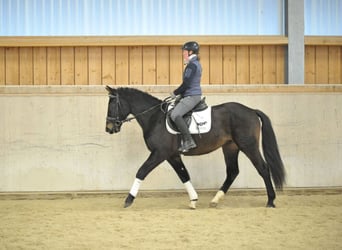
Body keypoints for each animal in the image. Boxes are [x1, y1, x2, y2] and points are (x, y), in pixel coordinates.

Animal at [105, 86, 286, 209]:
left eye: (112, 104)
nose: (109, 128)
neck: (155, 118)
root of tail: (251, 111)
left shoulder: (160, 153)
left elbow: (141, 171)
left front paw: (128, 200)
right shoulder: (172, 155)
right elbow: (184, 175)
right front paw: (193, 200)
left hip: (248, 145)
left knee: (263, 168)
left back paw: (270, 200)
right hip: (230, 147)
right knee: (233, 172)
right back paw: (215, 200)